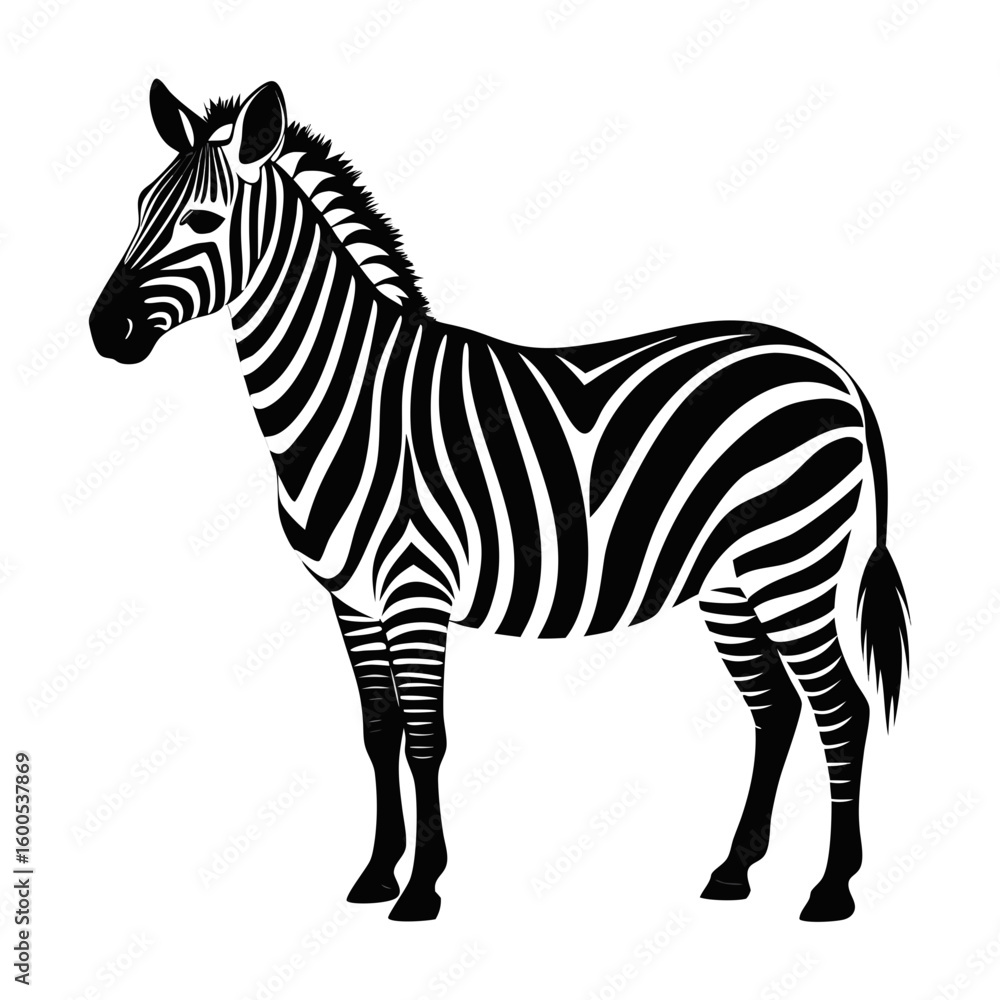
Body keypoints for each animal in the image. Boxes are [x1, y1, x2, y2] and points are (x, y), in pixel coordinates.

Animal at [90, 80, 910, 922]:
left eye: (202, 220)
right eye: (139, 205)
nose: (103, 330)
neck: (352, 400)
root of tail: (832, 367)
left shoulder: (416, 587)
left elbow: (427, 735)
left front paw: (421, 886)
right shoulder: (350, 599)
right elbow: (379, 730)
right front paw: (376, 874)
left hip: (792, 562)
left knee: (841, 707)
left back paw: (832, 888)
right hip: (729, 579)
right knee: (775, 707)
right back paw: (733, 871)